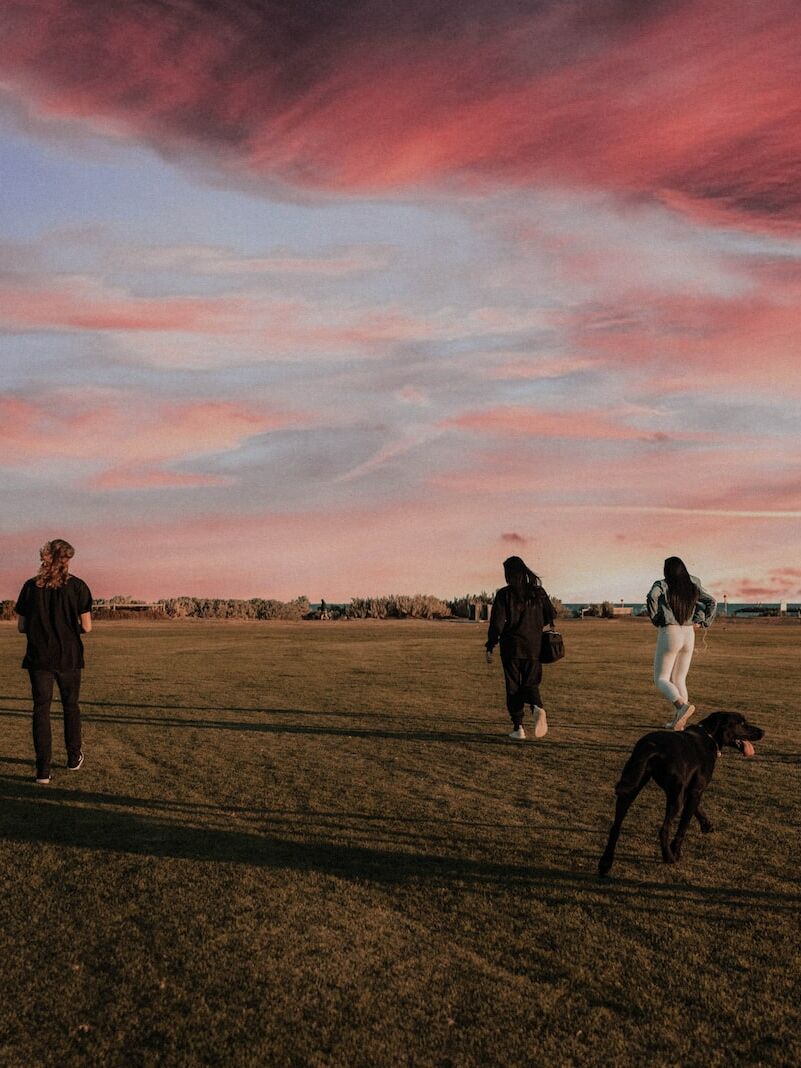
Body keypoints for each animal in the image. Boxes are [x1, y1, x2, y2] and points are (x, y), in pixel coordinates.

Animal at [602, 709, 764, 875]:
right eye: (742, 723)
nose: (763, 732)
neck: (709, 736)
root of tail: (652, 745)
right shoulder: (695, 791)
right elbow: (683, 826)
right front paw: (676, 851)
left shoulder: (689, 791)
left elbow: (697, 810)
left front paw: (707, 825)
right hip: (675, 799)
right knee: (664, 829)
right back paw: (668, 857)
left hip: (630, 789)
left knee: (615, 827)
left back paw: (605, 864)